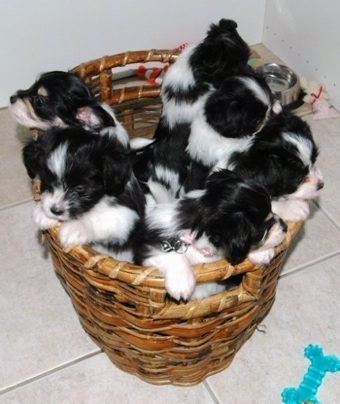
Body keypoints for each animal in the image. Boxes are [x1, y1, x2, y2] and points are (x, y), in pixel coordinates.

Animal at [21, 126, 145, 260]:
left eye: (80, 189)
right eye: (47, 182)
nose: (55, 210)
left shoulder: (127, 217)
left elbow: (100, 219)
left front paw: (74, 228)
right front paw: (42, 213)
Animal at [136, 169, 286, 302]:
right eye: (264, 230)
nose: (285, 227)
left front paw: (263, 253)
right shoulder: (148, 250)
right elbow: (174, 255)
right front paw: (182, 285)